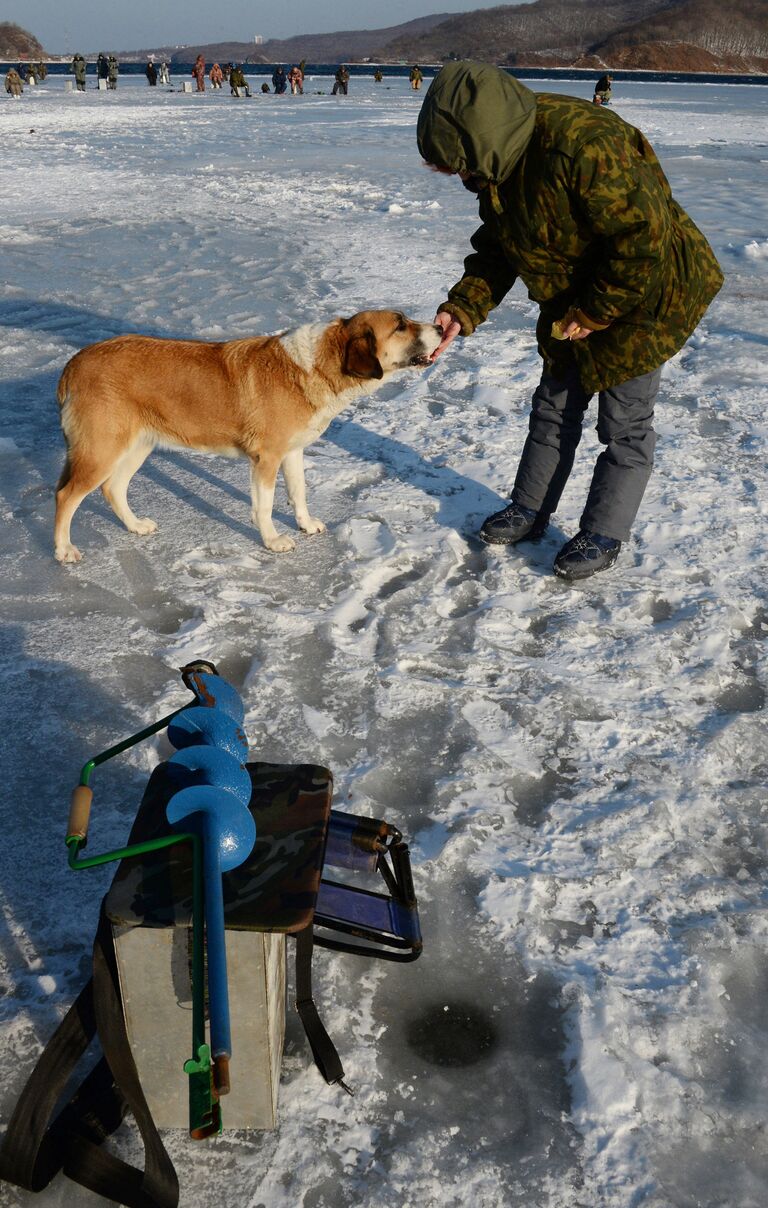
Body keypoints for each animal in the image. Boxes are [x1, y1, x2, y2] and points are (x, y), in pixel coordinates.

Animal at [54, 309, 441, 558]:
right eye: (401, 325)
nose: (440, 326)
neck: (315, 365)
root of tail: (75, 362)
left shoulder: (292, 452)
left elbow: (299, 492)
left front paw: (305, 524)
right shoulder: (265, 458)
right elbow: (265, 505)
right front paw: (272, 541)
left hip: (138, 445)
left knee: (113, 488)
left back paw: (135, 526)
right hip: (102, 449)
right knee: (66, 495)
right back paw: (64, 549)